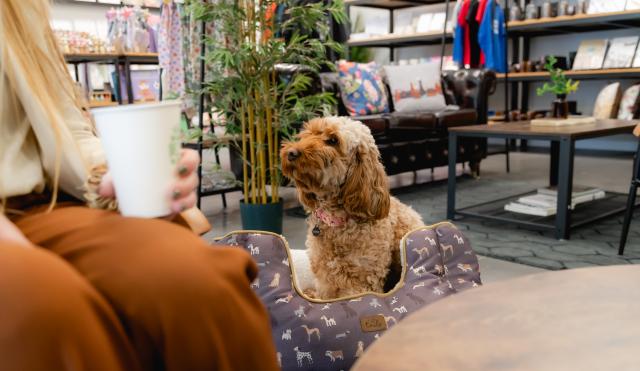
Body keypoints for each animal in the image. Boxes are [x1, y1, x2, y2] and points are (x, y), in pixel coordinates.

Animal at [282, 116, 422, 300]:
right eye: (307, 134)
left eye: (333, 140)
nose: (291, 152)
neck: (337, 220)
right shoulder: (325, 276)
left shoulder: (363, 279)